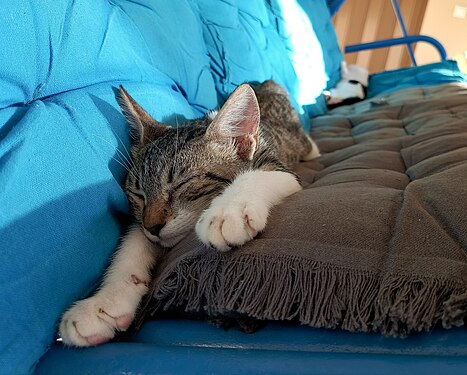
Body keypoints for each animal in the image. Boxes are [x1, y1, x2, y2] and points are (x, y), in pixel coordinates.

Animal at [58, 81, 320, 348]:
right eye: (138, 193)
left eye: (181, 185)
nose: (153, 226)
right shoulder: (143, 221)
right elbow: (132, 242)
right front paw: (102, 304)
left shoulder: (281, 170)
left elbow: (256, 176)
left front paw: (225, 213)